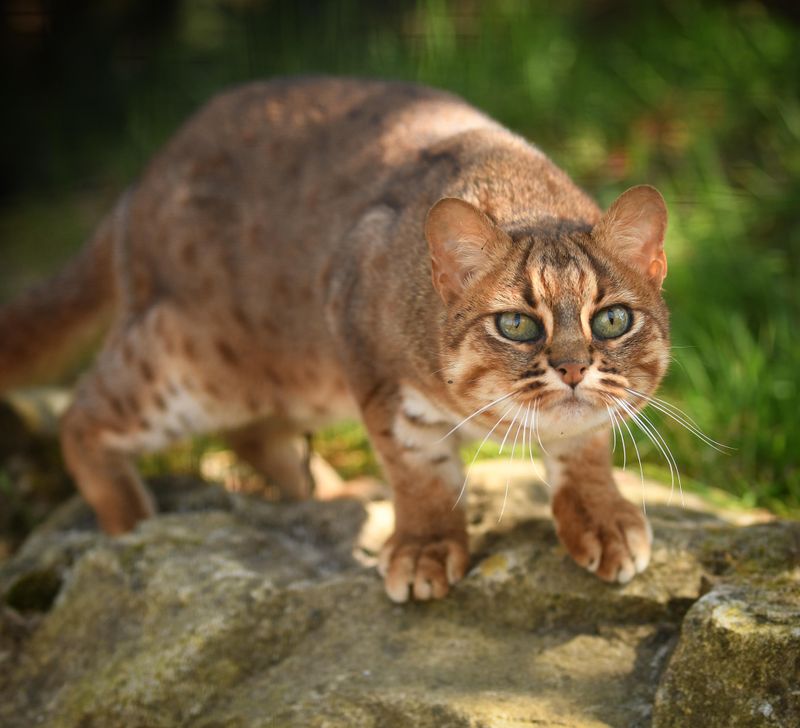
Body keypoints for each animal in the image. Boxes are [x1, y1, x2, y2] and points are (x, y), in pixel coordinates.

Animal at [0, 78, 668, 604]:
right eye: (518, 324)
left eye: (612, 321)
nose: (573, 369)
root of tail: (140, 181)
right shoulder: (371, 362)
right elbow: (418, 465)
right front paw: (425, 546)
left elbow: (584, 442)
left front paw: (602, 518)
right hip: (189, 363)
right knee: (82, 415)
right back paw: (131, 530)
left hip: (293, 378)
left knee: (252, 434)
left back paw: (327, 493)